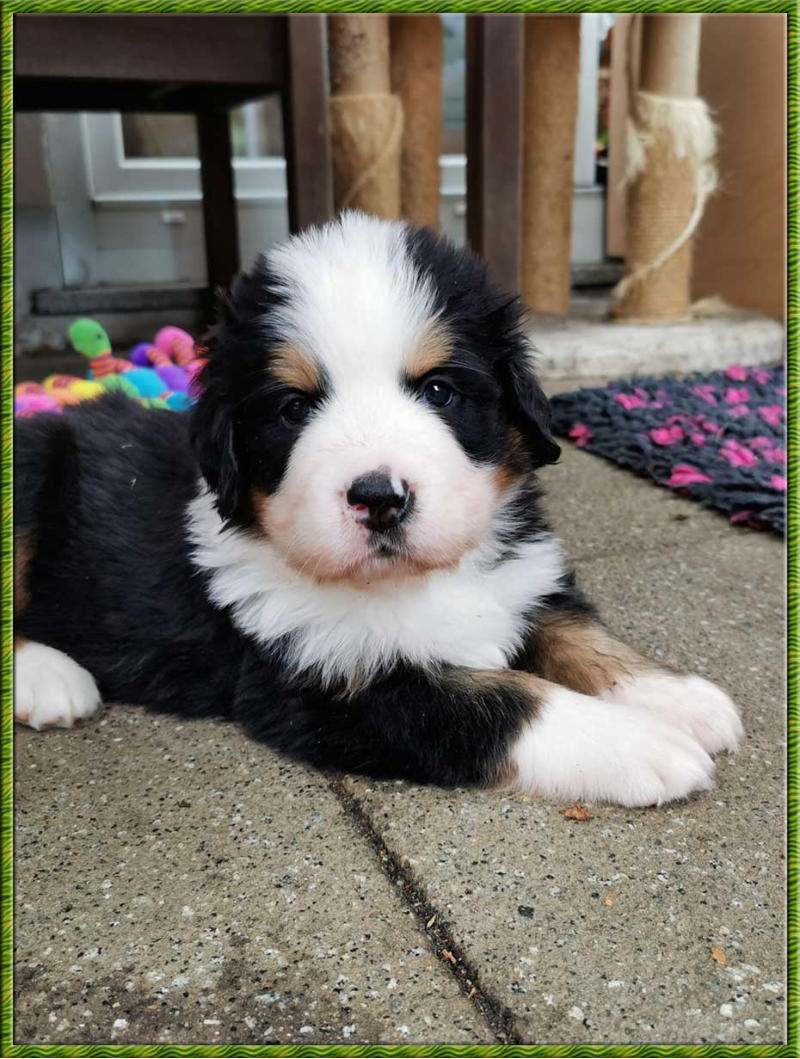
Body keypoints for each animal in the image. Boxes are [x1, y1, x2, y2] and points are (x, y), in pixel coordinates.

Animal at [13, 212, 742, 806]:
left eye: (440, 390)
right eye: (292, 408)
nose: (380, 498)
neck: (413, 580)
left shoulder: (520, 574)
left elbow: (574, 631)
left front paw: (677, 698)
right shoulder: (334, 683)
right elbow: (506, 702)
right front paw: (640, 743)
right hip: (30, 469)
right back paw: (49, 678)